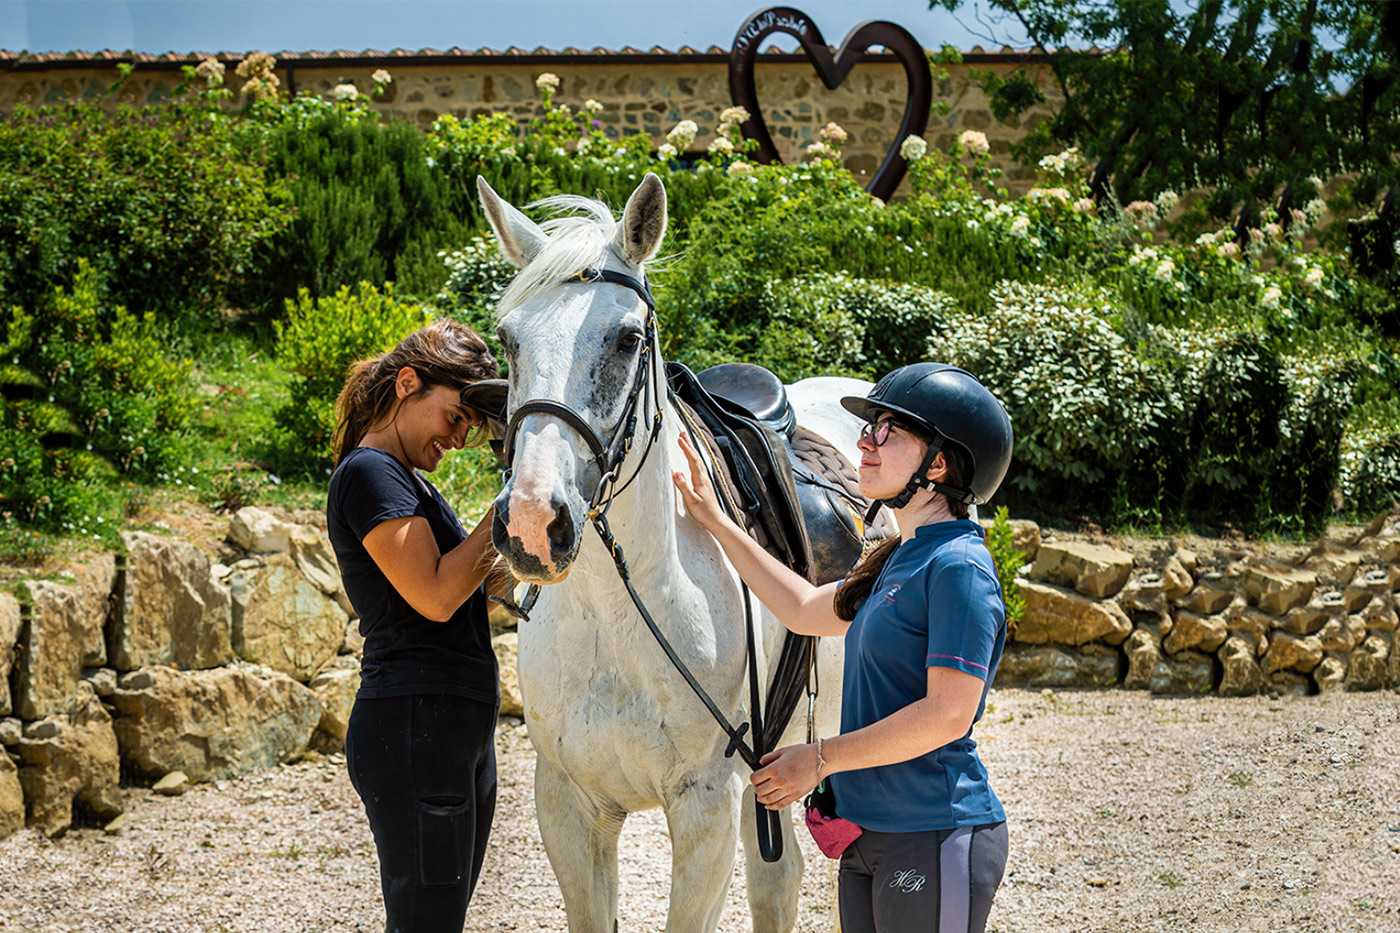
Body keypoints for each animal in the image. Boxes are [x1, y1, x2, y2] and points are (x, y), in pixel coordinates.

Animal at [481, 170, 868, 924]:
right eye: (509, 340)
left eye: (628, 339)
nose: (534, 522)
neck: (616, 617)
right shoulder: (568, 806)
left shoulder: (704, 808)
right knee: (778, 878)